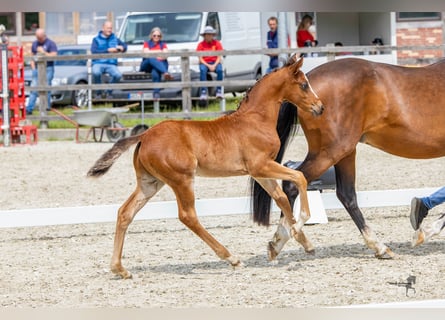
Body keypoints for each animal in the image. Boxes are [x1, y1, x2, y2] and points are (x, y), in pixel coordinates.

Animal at [86, 56, 322, 278]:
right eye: (303, 84)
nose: (319, 107)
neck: (255, 120)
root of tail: (144, 135)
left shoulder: (260, 171)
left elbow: (281, 198)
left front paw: (299, 241)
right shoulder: (261, 166)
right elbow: (299, 177)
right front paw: (300, 224)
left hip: (150, 183)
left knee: (125, 212)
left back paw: (119, 269)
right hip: (181, 179)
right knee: (188, 216)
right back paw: (232, 258)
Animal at [251, 57, 444, 262]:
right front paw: (426, 232)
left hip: (345, 153)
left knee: (346, 195)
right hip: (331, 152)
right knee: (294, 183)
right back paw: (286, 239)